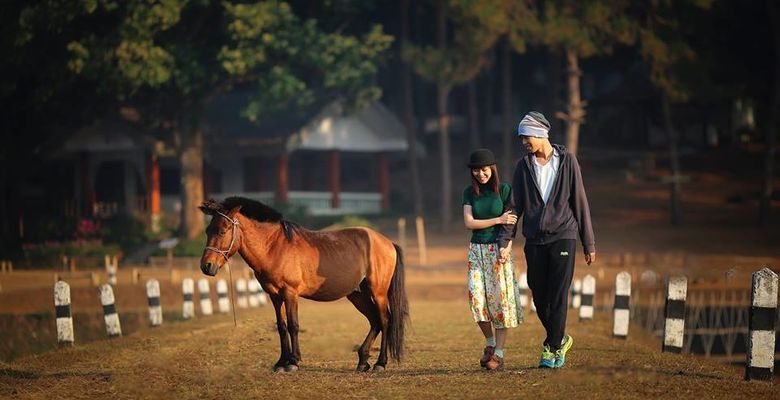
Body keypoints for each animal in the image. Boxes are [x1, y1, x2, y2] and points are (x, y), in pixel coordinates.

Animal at [198, 197, 408, 372]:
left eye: (222, 231)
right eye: (208, 230)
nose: (206, 266)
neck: (273, 247)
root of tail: (387, 242)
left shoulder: (290, 293)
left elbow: (293, 325)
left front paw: (293, 362)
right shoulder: (275, 296)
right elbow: (281, 327)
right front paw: (280, 362)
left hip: (378, 292)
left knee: (385, 320)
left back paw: (380, 363)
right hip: (357, 295)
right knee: (375, 321)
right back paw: (363, 361)